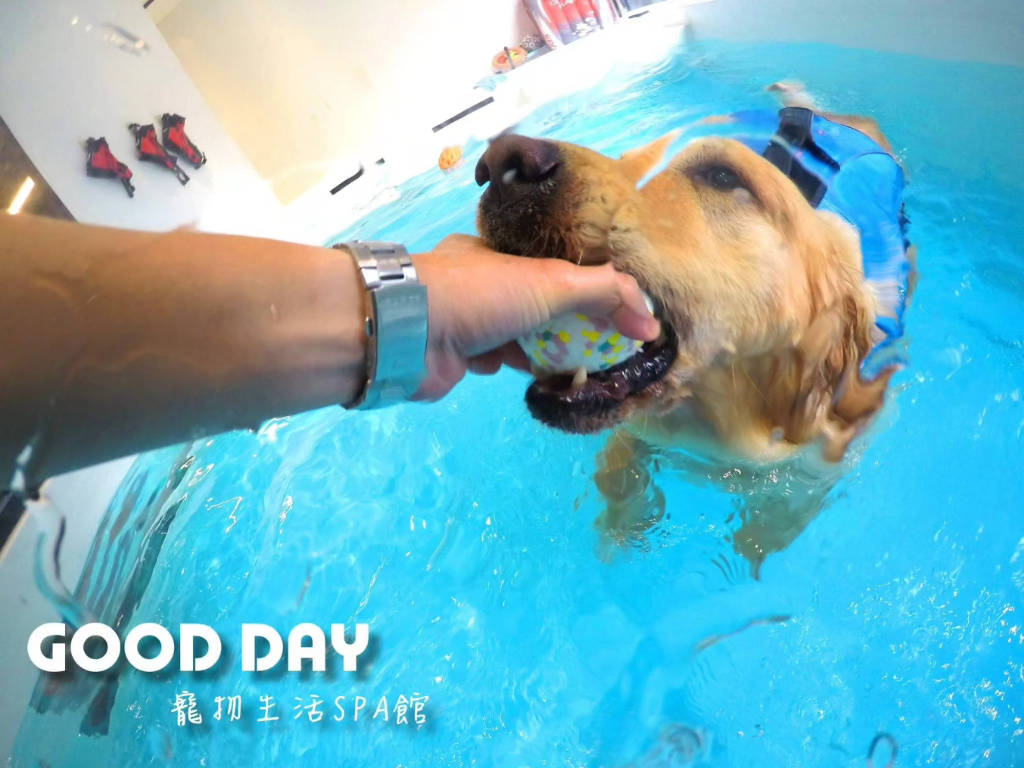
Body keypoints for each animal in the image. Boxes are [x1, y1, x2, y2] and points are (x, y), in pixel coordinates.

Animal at [475, 85, 916, 572]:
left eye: (721, 176)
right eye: (632, 159)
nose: (500, 164)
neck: (711, 418)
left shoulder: (818, 465)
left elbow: (777, 522)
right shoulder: (633, 428)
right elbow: (618, 475)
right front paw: (622, 527)